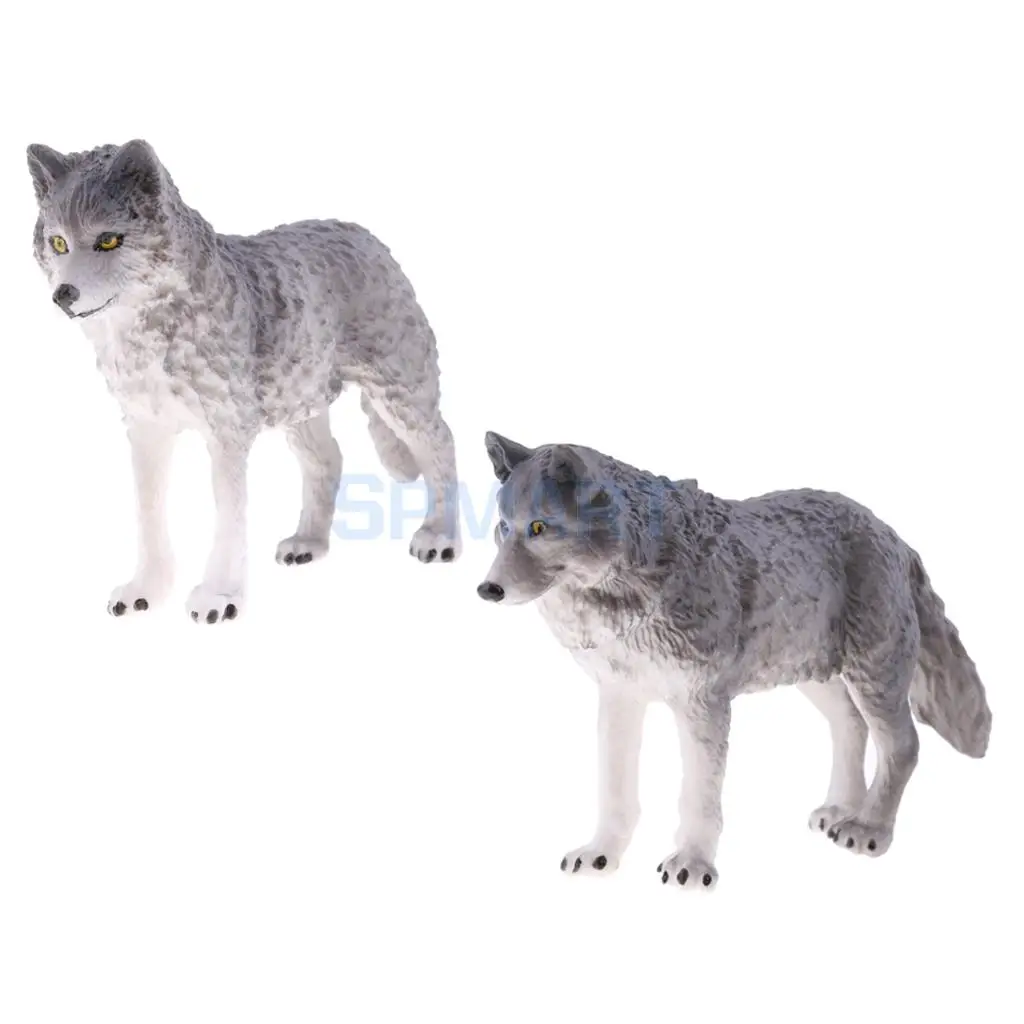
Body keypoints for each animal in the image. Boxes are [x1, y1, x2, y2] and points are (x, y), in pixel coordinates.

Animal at [26, 139, 461, 624]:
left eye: (108, 240)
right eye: (58, 242)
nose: (63, 296)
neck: (152, 332)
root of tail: (361, 233)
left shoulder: (227, 434)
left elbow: (228, 518)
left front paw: (219, 596)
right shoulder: (146, 431)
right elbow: (149, 514)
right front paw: (146, 590)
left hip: (399, 395)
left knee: (442, 444)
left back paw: (441, 535)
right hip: (301, 404)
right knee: (329, 460)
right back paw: (309, 543)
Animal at [477, 432, 992, 890]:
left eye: (538, 528)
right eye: (502, 527)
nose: (487, 589)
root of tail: (894, 536)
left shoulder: (702, 704)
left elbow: (699, 796)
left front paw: (692, 863)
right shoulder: (620, 696)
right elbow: (614, 791)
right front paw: (601, 854)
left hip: (872, 678)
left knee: (903, 745)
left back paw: (868, 828)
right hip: (818, 678)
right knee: (851, 727)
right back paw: (842, 810)